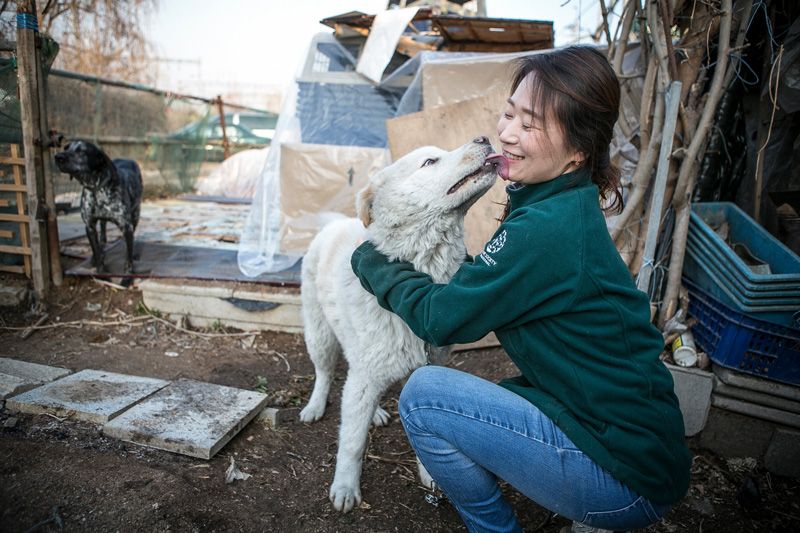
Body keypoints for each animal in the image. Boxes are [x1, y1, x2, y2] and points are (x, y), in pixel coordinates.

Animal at [55, 139, 143, 272]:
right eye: (66, 148)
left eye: (81, 151)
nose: (57, 157)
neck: (97, 189)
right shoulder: (90, 227)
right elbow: (95, 251)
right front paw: (100, 268)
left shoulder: (127, 226)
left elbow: (128, 253)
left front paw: (128, 269)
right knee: (103, 237)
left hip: (136, 215)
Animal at [300, 137, 496, 512]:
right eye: (430, 161)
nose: (484, 138)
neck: (420, 265)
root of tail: (335, 224)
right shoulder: (364, 374)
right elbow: (352, 442)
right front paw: (345, 487)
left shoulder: (424, 368)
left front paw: (431, 474)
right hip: (319, 335)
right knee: (325, 373)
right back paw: (315, 406)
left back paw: (375, 412)